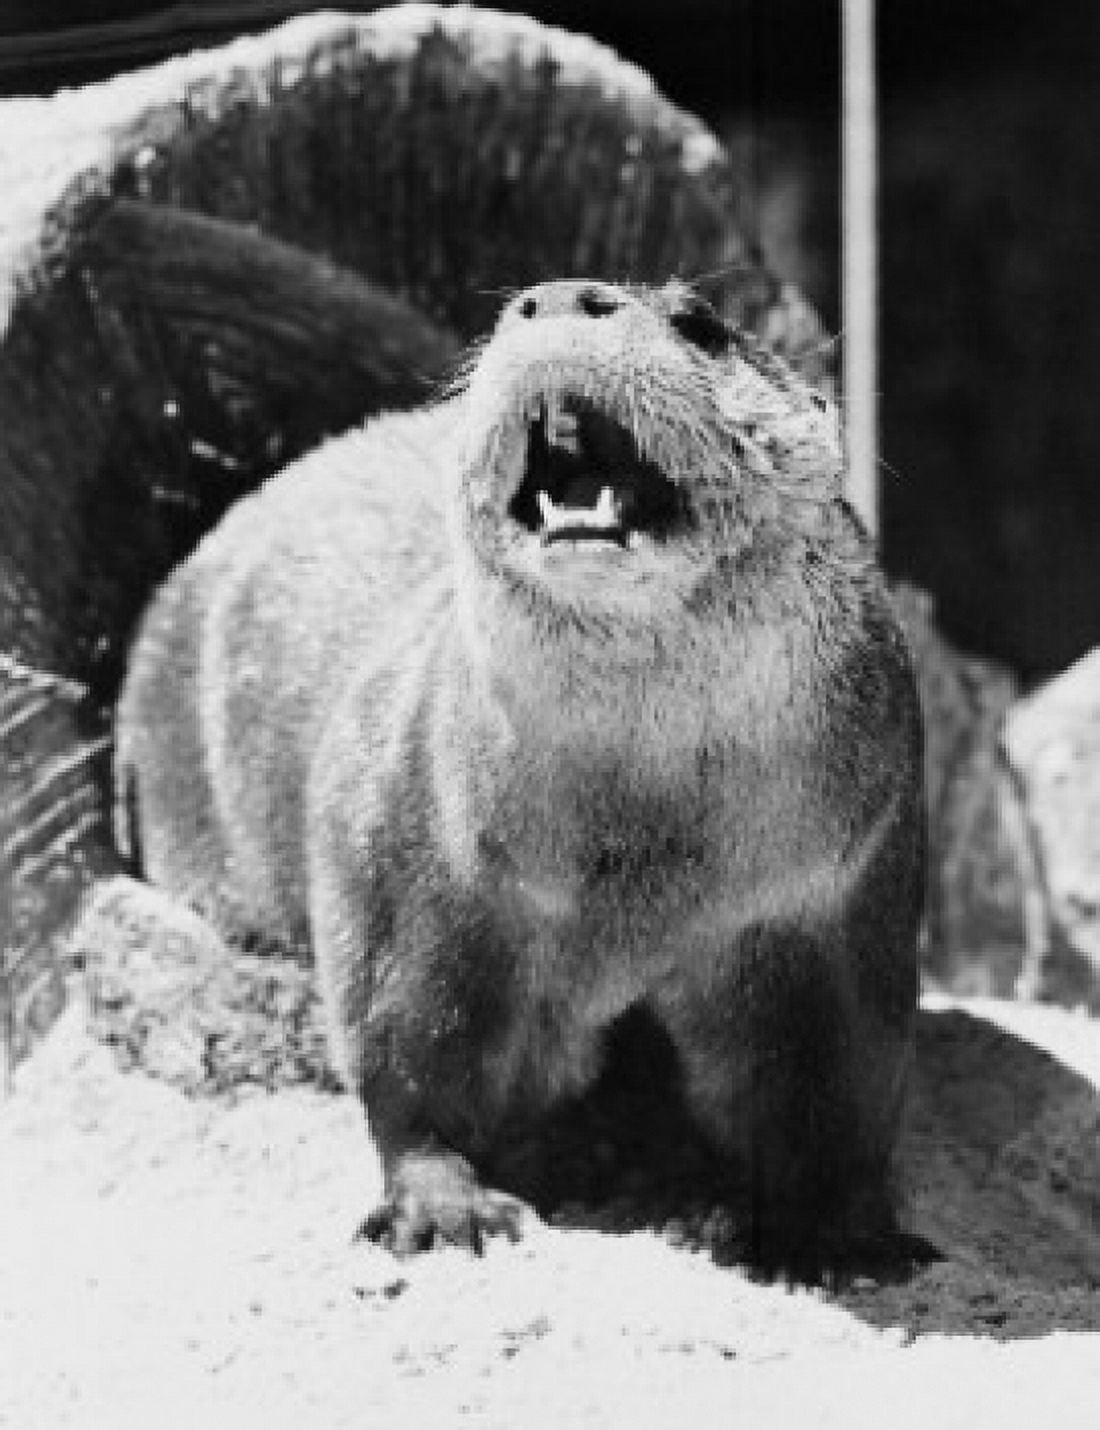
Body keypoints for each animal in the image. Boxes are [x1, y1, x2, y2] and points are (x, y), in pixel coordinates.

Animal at [115, 278, 924, 1259]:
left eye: (700, 324)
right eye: (513, 311)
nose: (562, 295)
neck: (647, 871)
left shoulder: (835, 901)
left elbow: (832, 1093)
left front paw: (829, 1236)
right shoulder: (418, 870)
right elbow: (408, 1057)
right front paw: (443, 1204)